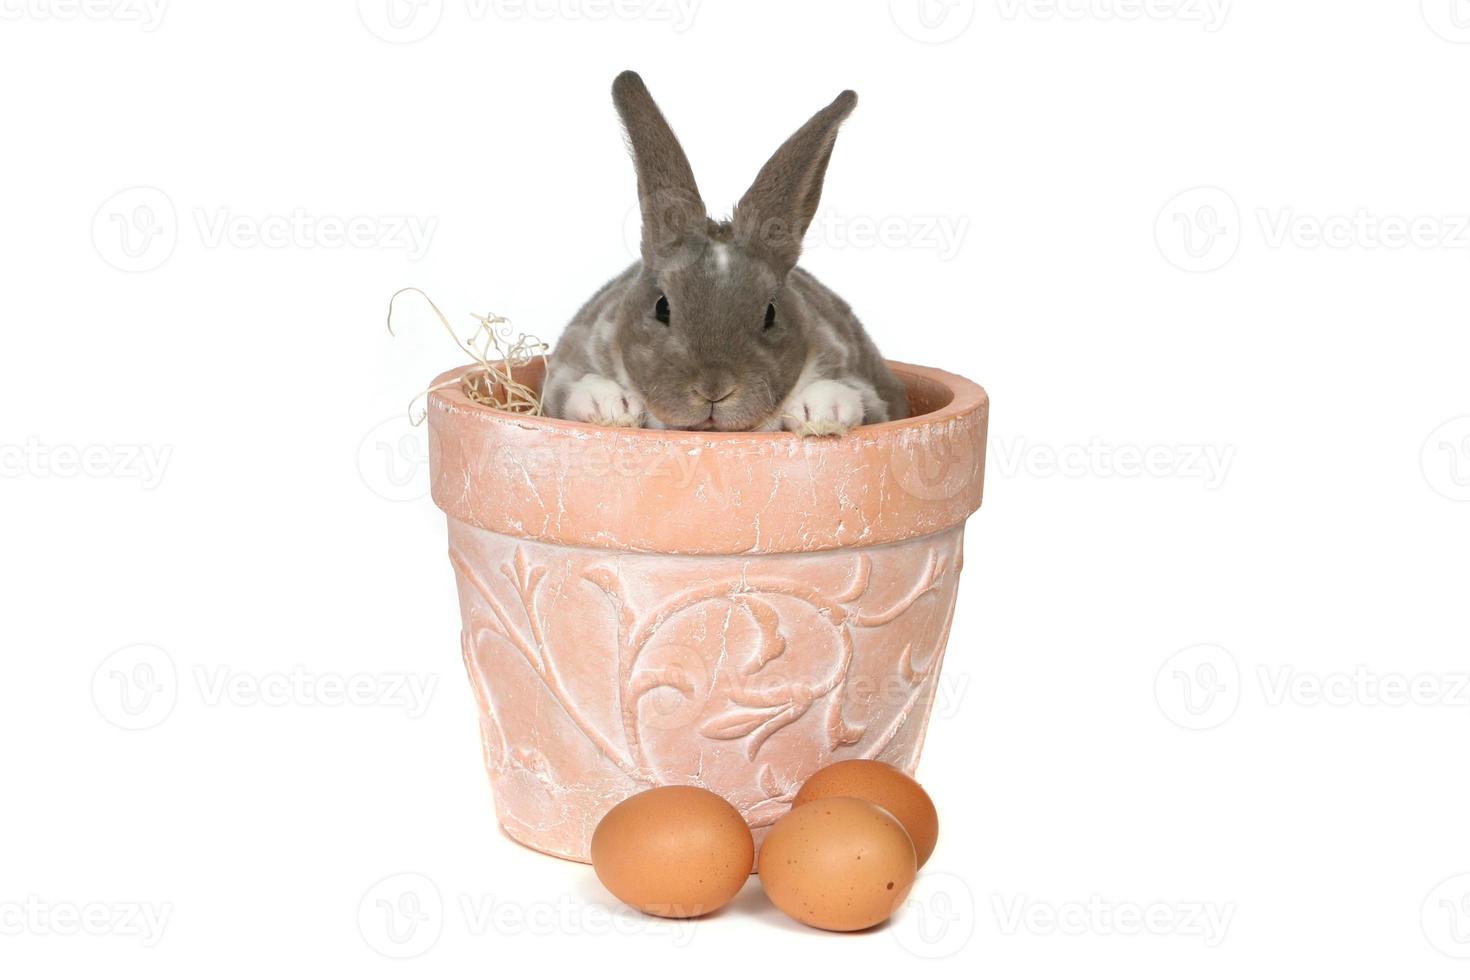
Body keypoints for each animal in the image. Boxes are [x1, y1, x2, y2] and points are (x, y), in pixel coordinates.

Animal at [540, 69, 905, 437]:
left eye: (770, 313)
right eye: (662, 307)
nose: (713, 390)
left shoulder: (867, 388)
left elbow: (850, 394)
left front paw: (820, 413)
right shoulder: (565, 370)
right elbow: (574, 388)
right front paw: (610, 408)